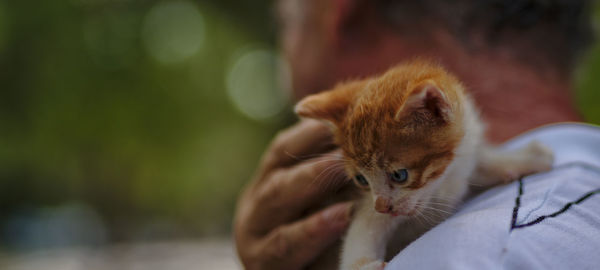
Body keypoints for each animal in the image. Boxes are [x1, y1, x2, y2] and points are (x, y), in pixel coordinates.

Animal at [296, 60, 552, 270]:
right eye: (361, 179)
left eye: (399, 175)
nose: (382, 206)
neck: (443, 181)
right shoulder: (366, 205)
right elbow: (364, 228)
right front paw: (364, 265)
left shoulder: (465, 152)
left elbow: (481, 164)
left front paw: (525, 159)